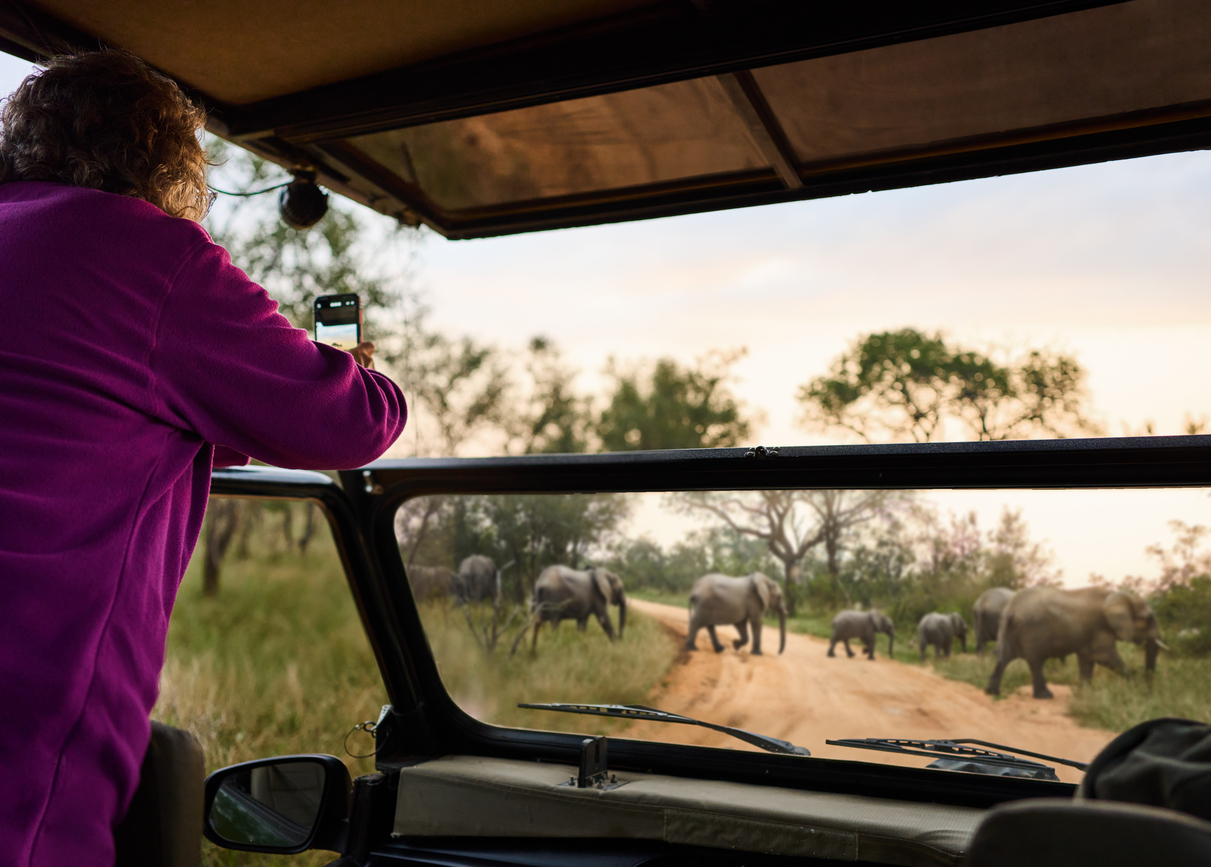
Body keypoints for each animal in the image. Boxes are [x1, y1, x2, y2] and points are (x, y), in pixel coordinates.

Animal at [985, 585, 1168, 699]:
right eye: (1148, 619)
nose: (1150, 692)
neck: (1121, 597)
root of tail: (1011, 609)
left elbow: (1087, 660)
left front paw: (1084, 695)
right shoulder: (1101, 629)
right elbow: (1105, 657)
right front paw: (1138, 688)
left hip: (1011, 629)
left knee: (1004, 658)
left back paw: (992, 693)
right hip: (1033, 630)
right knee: (1036, 662)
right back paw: (1045, 696)